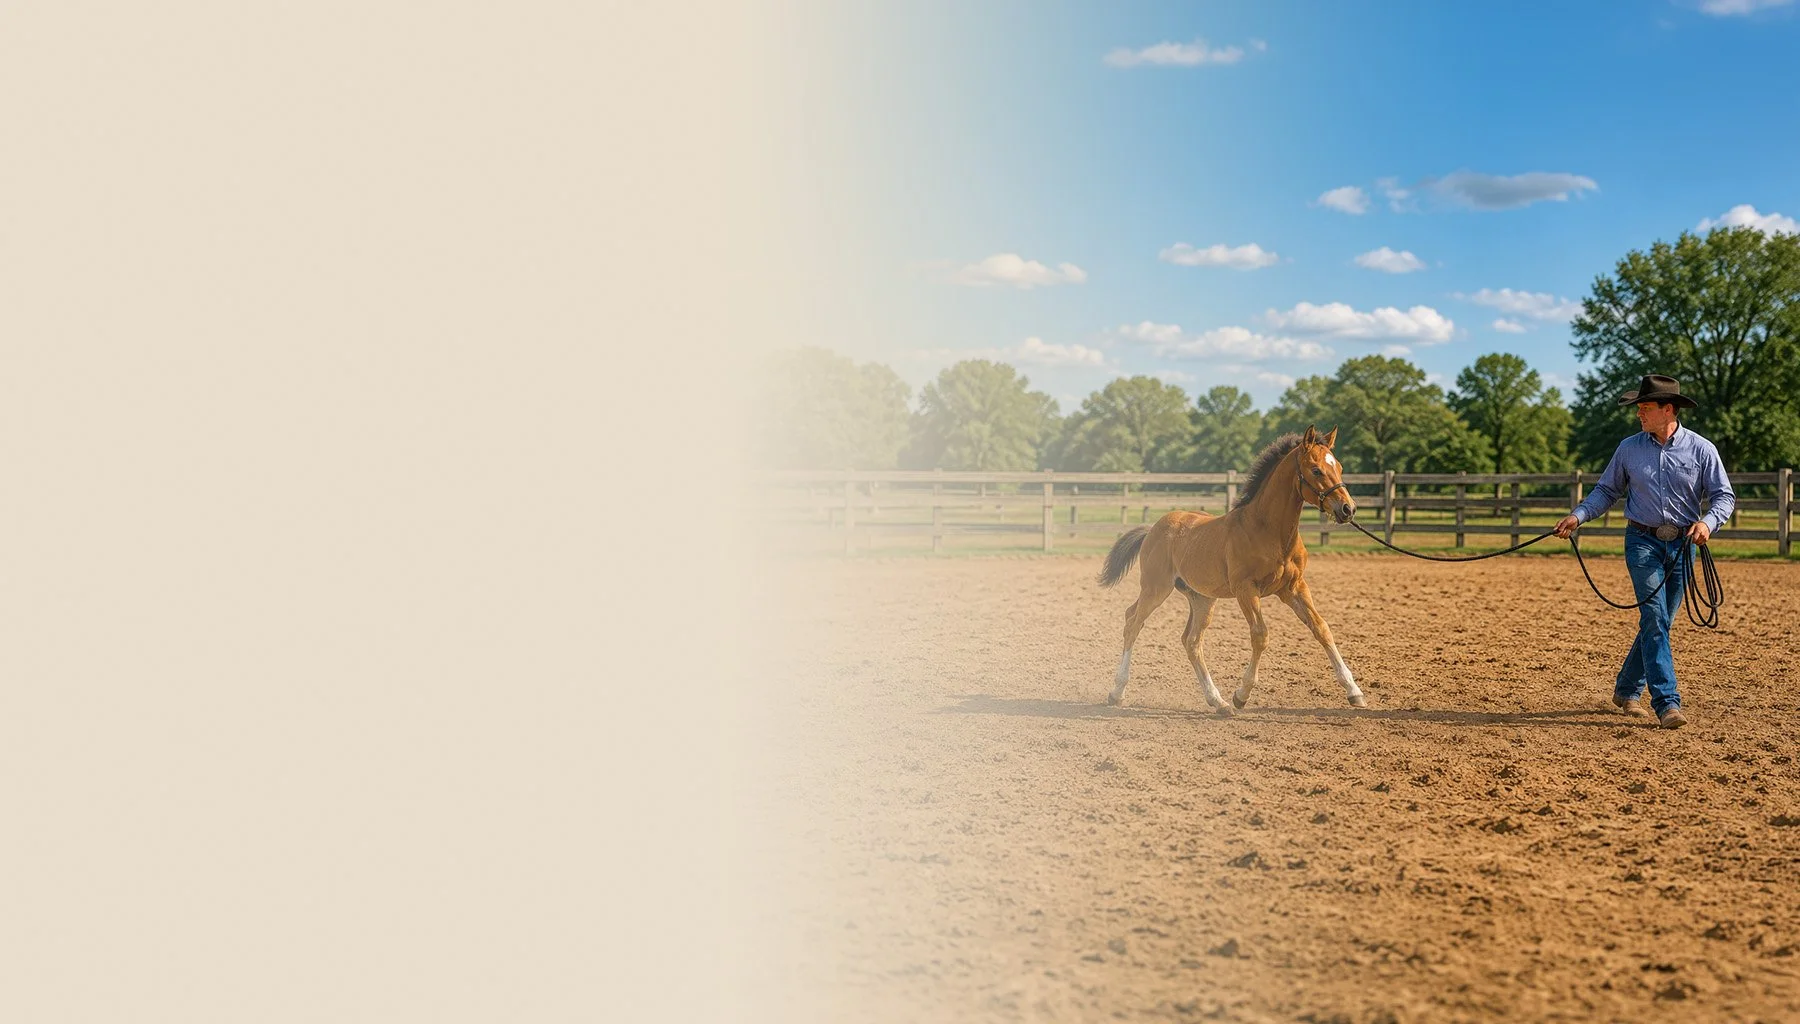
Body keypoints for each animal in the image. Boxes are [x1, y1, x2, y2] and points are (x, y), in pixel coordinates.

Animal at [1096, 426, 1363, 714]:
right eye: (1316, 470)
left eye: (1339, 466)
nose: (1348, 509)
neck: (1268, 531)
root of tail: (1153, 529)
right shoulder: (1246, 590)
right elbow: (1260, 635)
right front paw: (1241, 694)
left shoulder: (1294, 588)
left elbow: (1321, 628)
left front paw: (1354, 691)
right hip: (1156, 588)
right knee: (1133, 621)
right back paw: (1117, 692)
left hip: (1202, 598)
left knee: (1191, 641)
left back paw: (1218, 701)